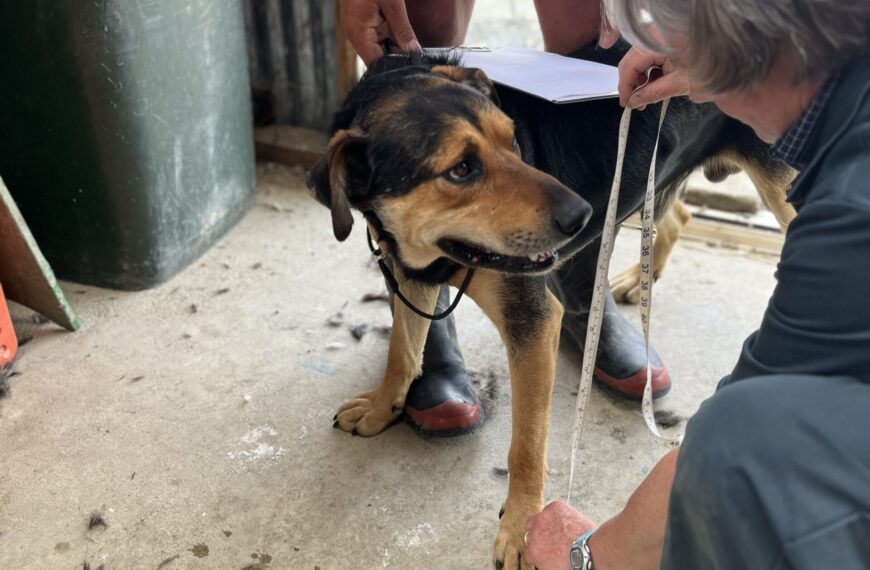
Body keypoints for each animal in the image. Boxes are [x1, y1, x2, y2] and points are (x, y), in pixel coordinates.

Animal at [308, 43, 796, 568]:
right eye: (460, 169)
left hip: (785, 192)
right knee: (678, 213)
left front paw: (523, 528)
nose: (582, 216)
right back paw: (634, 279)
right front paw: (382, 408)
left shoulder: (532, 320)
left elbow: (526, 442)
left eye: (512, 141)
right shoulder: (411, 273)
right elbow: (402, 352)